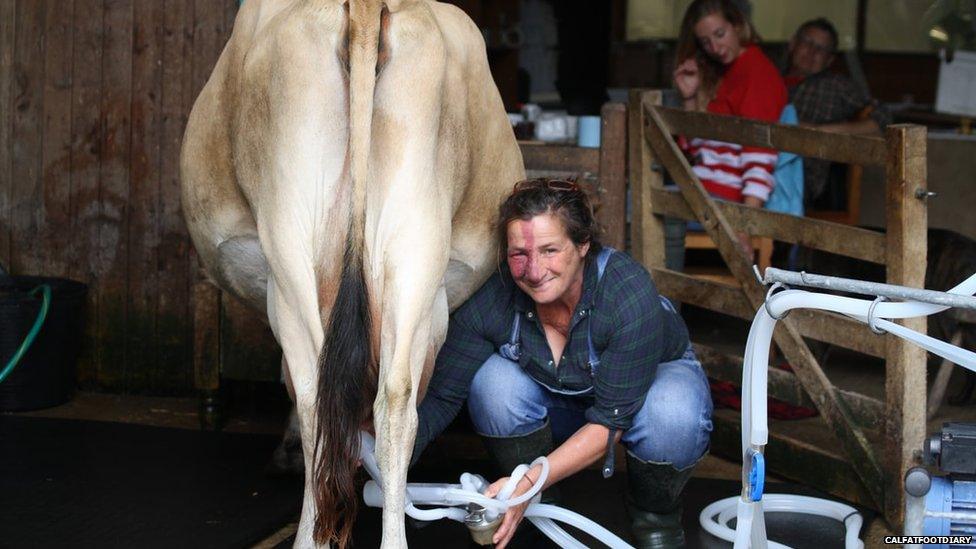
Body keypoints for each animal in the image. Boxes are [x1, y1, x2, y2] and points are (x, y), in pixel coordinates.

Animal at [178, 2, 524, 544]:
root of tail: (363, 9)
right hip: (415, 251)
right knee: (394, 403)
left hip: (291, 253)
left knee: (316, 396)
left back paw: (309, 534)